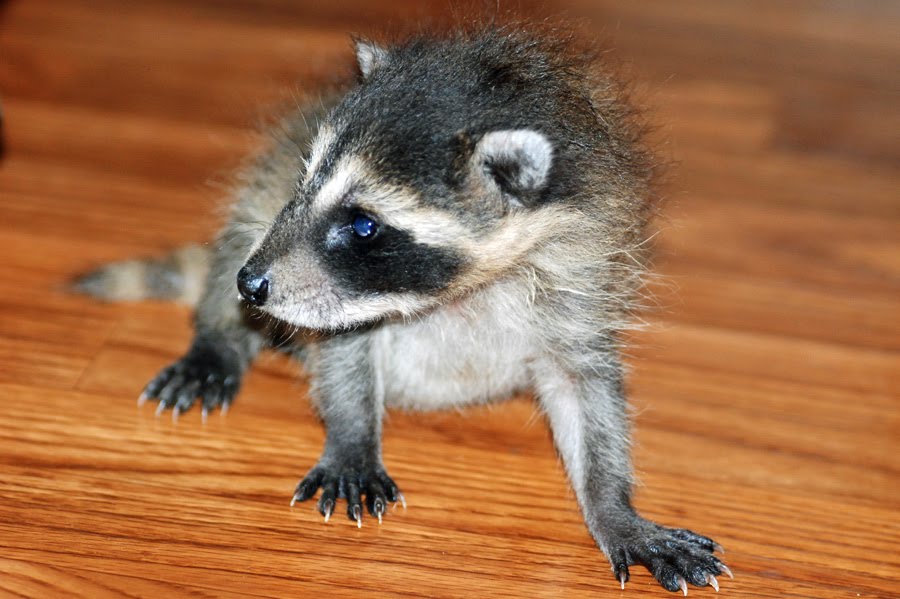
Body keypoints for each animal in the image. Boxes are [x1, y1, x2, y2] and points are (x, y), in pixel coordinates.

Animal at [76, 25, 730, 593]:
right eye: (306, 178)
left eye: (364, 224)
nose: (252, 285)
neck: (463, 289)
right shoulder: (327, 284)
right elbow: (342, 355)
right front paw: (353, 439)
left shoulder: (584, 282)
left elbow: (588, 397)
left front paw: (614, 506)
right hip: (256, 211)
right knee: (241, 231)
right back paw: (219, 336)